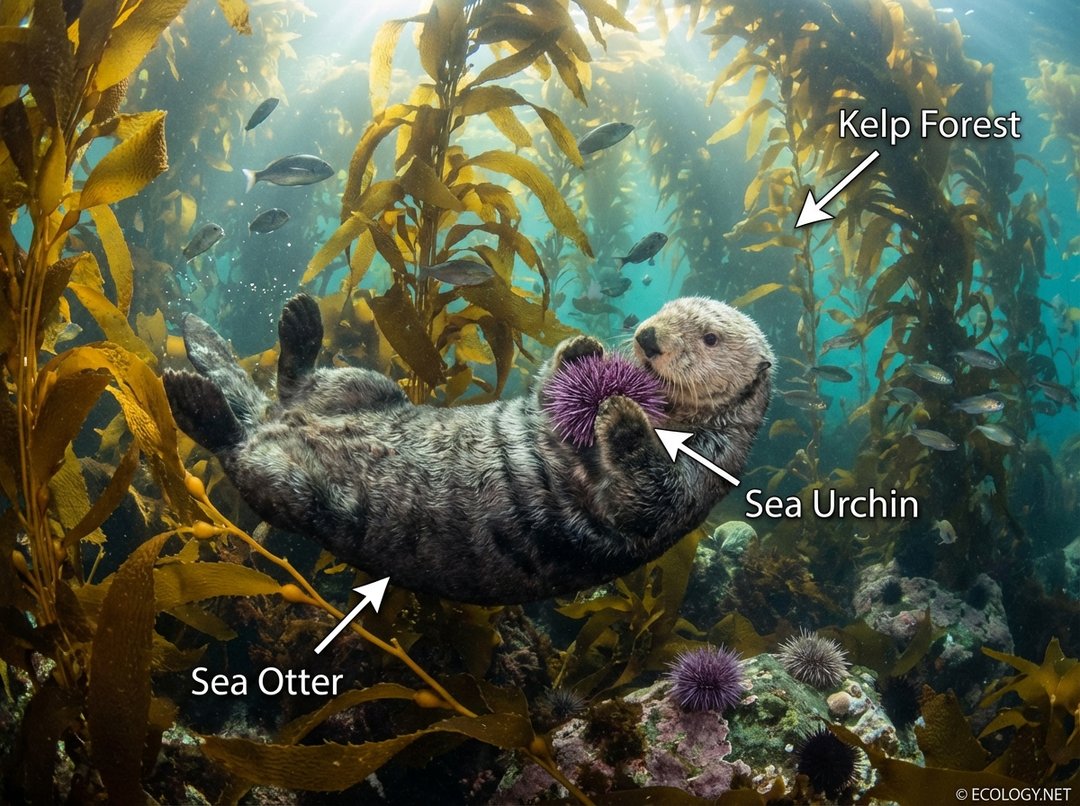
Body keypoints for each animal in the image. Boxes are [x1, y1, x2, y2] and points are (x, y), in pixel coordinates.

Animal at [163, 295, 773, 604]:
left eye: (710, 338)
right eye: (666, 309)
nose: (648, 336)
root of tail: (275, 422)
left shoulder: (701, 474)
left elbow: (645, 495)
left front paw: (622, 413)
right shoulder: (545, 412)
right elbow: (547, 391)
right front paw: (582, 349)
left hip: (292, 486)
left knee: (238, 448)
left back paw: (193, 399)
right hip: (363, 385)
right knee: (296, 381)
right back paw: (299, 323)